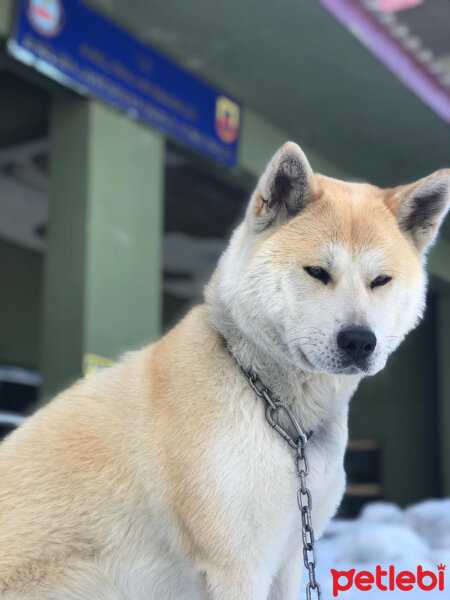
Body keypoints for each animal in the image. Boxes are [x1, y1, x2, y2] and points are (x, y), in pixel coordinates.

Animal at [0, 142, 448, 600]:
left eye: (381, 280)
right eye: (317, 272)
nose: (359, 341)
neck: (276, 405)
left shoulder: (291, 554)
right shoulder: (238, 565)